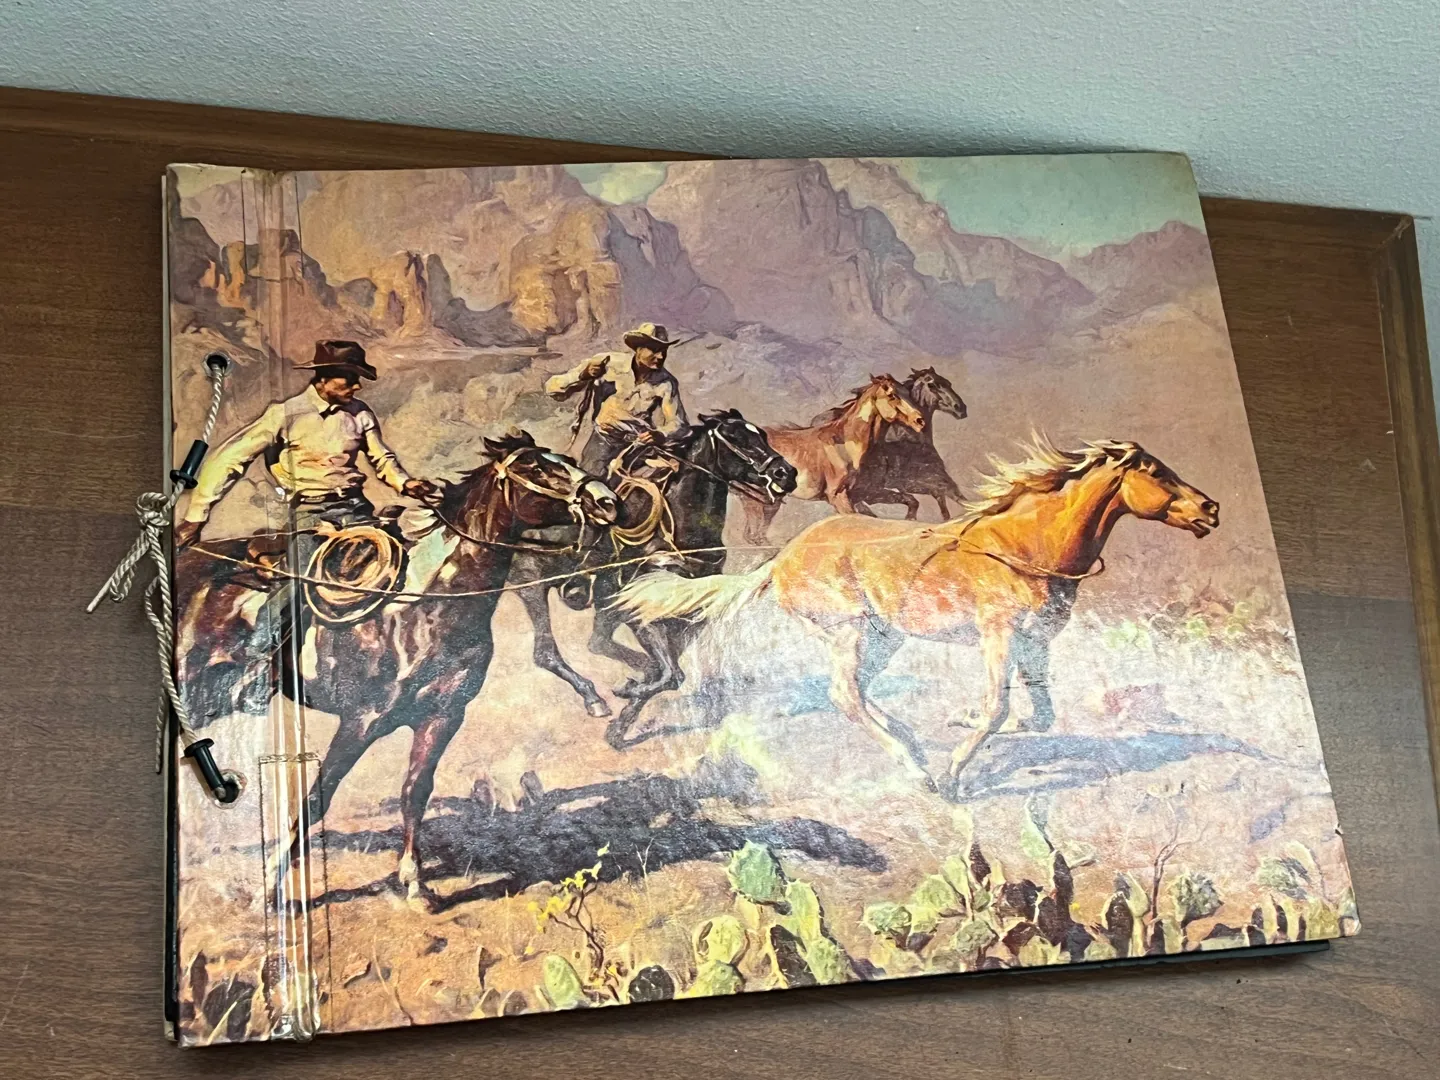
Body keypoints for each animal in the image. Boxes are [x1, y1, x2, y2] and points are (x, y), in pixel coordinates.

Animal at [173, 432, 620, 905]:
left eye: (565, 458)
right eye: (535, 467)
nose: (608, 501)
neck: (423, 606)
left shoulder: (441, 717)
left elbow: (414, 792)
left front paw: (414, 881)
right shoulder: (360, 721)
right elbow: (316, 800)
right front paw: (271, 887)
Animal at [507, 409, 796, 742]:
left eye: (761, 434)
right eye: (735, 437)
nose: (786, 474)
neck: (682, 532)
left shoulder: (688, 618)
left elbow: (669, 672)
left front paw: (621, 724)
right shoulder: (640, 609)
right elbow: (671, 674)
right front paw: (627, 697)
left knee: (598, 643)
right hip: (531, 585)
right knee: (546, 653)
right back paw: (594, 699)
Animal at [614, 437, 1219, 796]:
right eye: (1155, 471)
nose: (1210, 509)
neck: (1025, 546)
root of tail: (783, 557)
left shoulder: (1036, 643)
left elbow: (1038, 714)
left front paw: (958, 723)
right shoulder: (997, 635)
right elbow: (998, 707)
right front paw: (953, 771)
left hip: (884, 637)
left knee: (859, 692)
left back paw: (911, 742)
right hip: (850, 631)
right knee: (846, 695)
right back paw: (917, 768)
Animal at [740, 374, 926, 545]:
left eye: (907, 393)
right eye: (891, 395)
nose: (919, 421)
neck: (846, 446)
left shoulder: (866, 493)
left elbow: (910, 501)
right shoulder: (838, 496)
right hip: (756, 499)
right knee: (754, 536)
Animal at [841, 367, 968, 519]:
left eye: (948, 383)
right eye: (932, 385)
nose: (960, 408)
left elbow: (945, 503)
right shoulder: (929, 481)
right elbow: (954, 497)